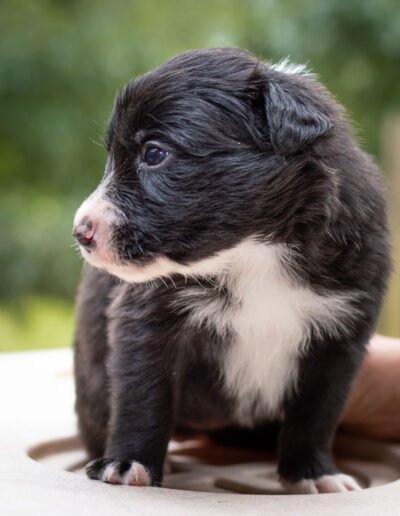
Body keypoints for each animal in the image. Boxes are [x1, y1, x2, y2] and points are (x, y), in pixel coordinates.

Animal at [72, 48, 390, 494]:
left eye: (154, 154)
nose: (80, 231)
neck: (255, 252)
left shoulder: (340, 337)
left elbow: (316, 413)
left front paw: (314, 473)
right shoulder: (148, 320)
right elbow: (142, 396)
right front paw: (128, 463)